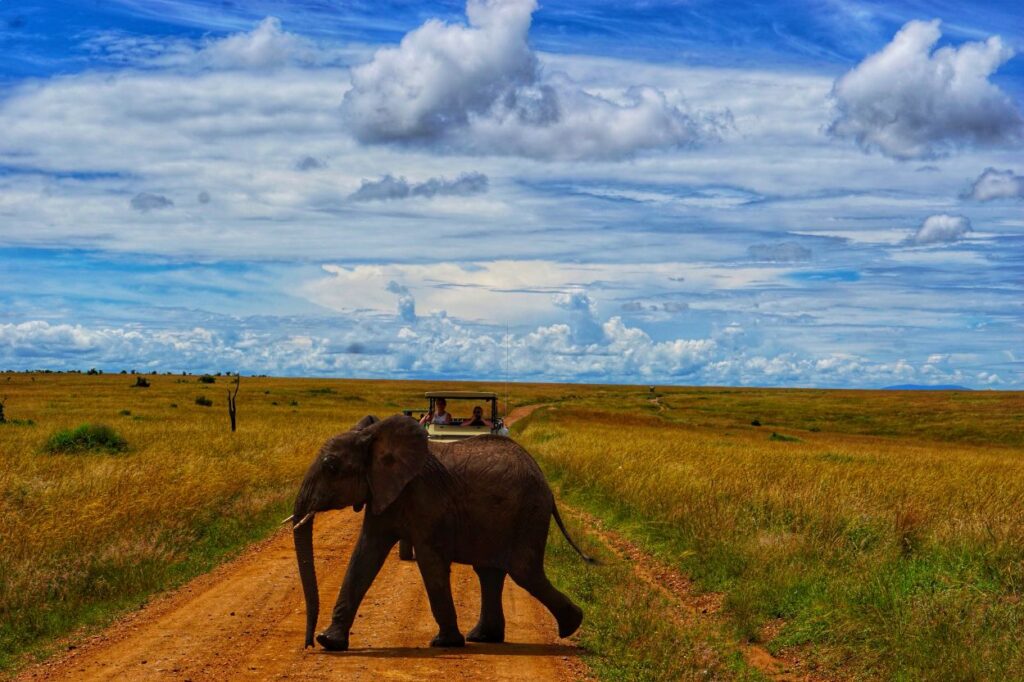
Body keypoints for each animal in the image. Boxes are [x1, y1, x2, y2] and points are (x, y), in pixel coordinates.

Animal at [290, 413, 593, 651]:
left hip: (529, 512)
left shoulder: (426, 498)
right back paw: (484, 637)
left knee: (524, 572)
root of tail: (546, 485)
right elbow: (365, 554)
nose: (308, 644)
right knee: (490, 572)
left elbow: (429, 560)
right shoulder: (383, 492)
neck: (373, 439)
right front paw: (330, 642)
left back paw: (572, 625)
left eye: (331, 467)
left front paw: (445, 643)